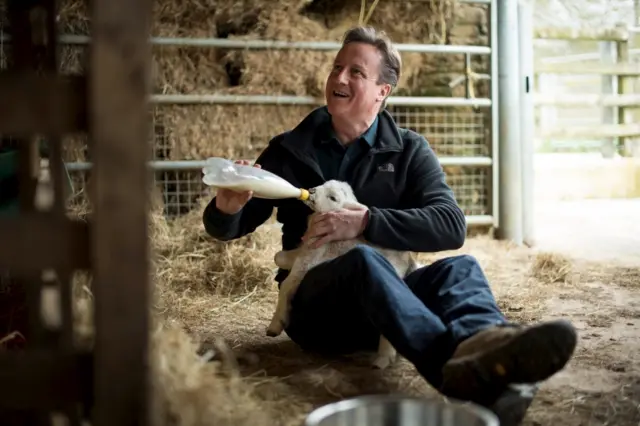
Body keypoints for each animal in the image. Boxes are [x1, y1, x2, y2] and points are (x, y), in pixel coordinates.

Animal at [266, 179, 420, 370]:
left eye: (333, 198)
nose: (312, 191)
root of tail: (408, 260)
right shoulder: (306, 249)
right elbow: (278, 256)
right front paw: (284, 260)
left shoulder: (310, 257)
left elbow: (287, 285)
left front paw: (275, 325)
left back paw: (383, 358)